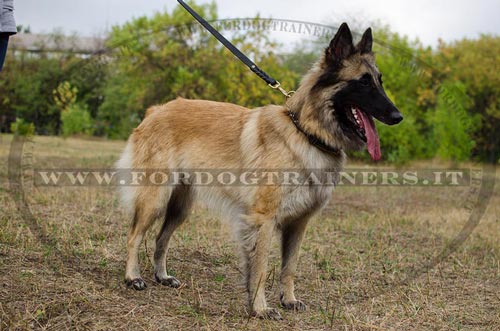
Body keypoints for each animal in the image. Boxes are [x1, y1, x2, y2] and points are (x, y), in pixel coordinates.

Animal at [117, 22, 402, 320]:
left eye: (379, 80)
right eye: (363, 82)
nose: (398, 117)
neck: (305, 133)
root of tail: (155, 110)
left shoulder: (298, 224)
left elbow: (289, 268)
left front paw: (288, 300)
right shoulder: (263, 220)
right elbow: (262, 267)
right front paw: (260, 308)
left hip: (179, 208)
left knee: (161, 239)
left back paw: (162, 276)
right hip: (155, 198)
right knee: (133, 236)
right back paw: (133, 277)